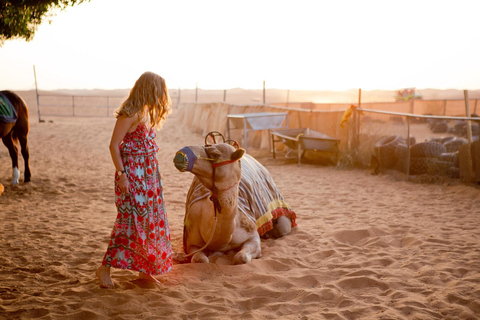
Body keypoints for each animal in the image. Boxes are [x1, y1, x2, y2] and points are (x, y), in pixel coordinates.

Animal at [172, 131, 296, 264]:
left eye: (215, 154)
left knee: (282, 228)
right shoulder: (191, 243)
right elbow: (199, 259)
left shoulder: (252, 235)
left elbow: (241, 257)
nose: (181, 154)